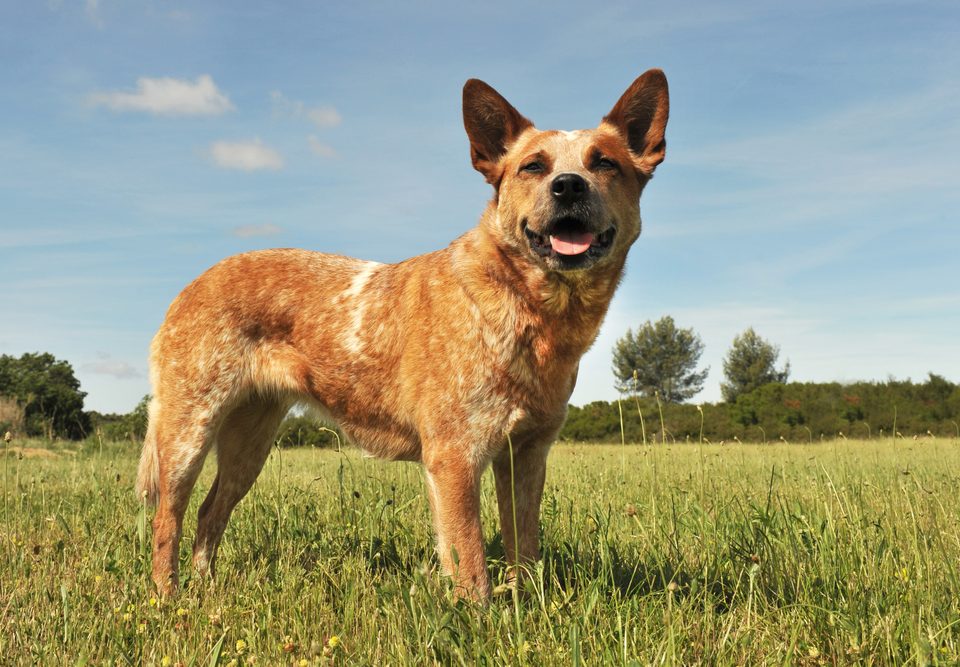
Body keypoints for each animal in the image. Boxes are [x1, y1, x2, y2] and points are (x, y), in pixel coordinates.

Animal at [139, 70, 672, 604]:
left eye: (604, 162)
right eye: (533, 167)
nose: (567, 186)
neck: (530, 307)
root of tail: (189, 287)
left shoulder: (527, 454)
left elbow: (524, 547)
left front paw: (526, 606)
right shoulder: (455, 456)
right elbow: (470, 563)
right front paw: (478, 616)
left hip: (250, 442)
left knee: (210, 512)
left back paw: (205, 590)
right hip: (189, 430)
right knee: (168, 519)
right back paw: (169, 600)